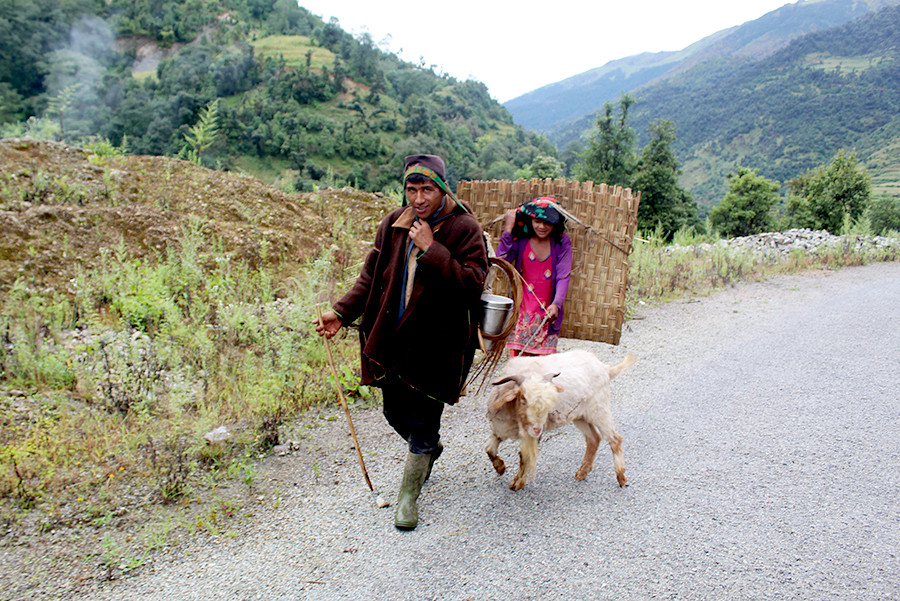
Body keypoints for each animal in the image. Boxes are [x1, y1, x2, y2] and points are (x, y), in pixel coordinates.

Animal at [486, 350, 632, 490]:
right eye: (523, 400)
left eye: (548, 405)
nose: (537, 429)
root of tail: (605, 369)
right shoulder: (499, 429)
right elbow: (489, 449)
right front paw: (500, 468)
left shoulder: (530, 437)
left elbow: (525, 457)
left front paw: (517, 483)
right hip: (580, 416)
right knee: (594, 438)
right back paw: (582, 472)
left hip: (599, 410)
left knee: (615, 439)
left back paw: (621, 478)